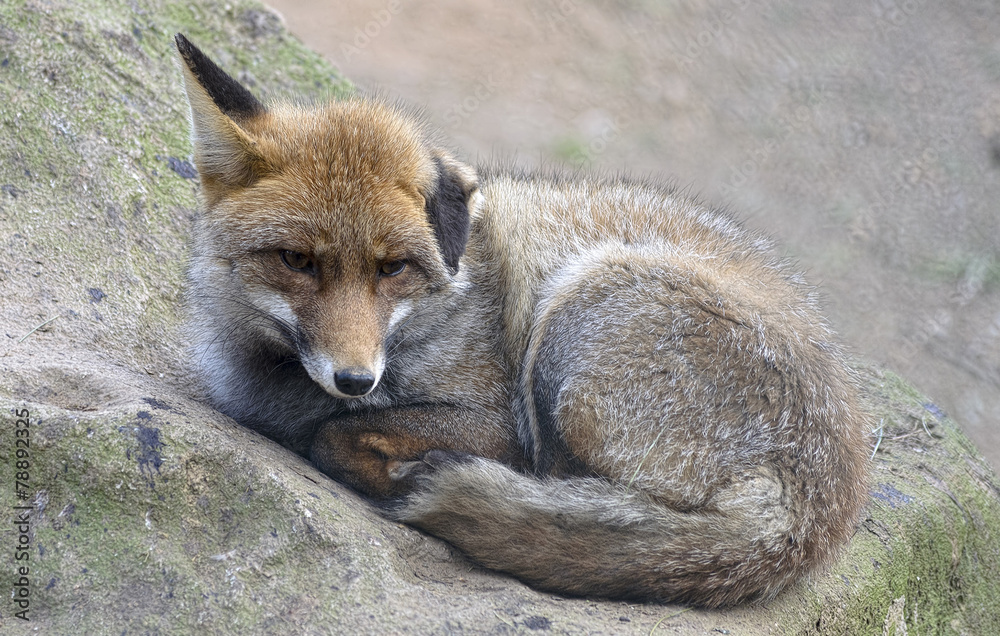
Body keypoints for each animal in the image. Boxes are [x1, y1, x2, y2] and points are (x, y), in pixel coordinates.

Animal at [177, 33, 870, 608]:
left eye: (393, 268)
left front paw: (386, 464)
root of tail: (820, 514)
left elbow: (335, 435)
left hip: (575, 313)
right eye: (297, 260)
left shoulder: (499, 424)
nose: (355, 380)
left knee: (567, 496)